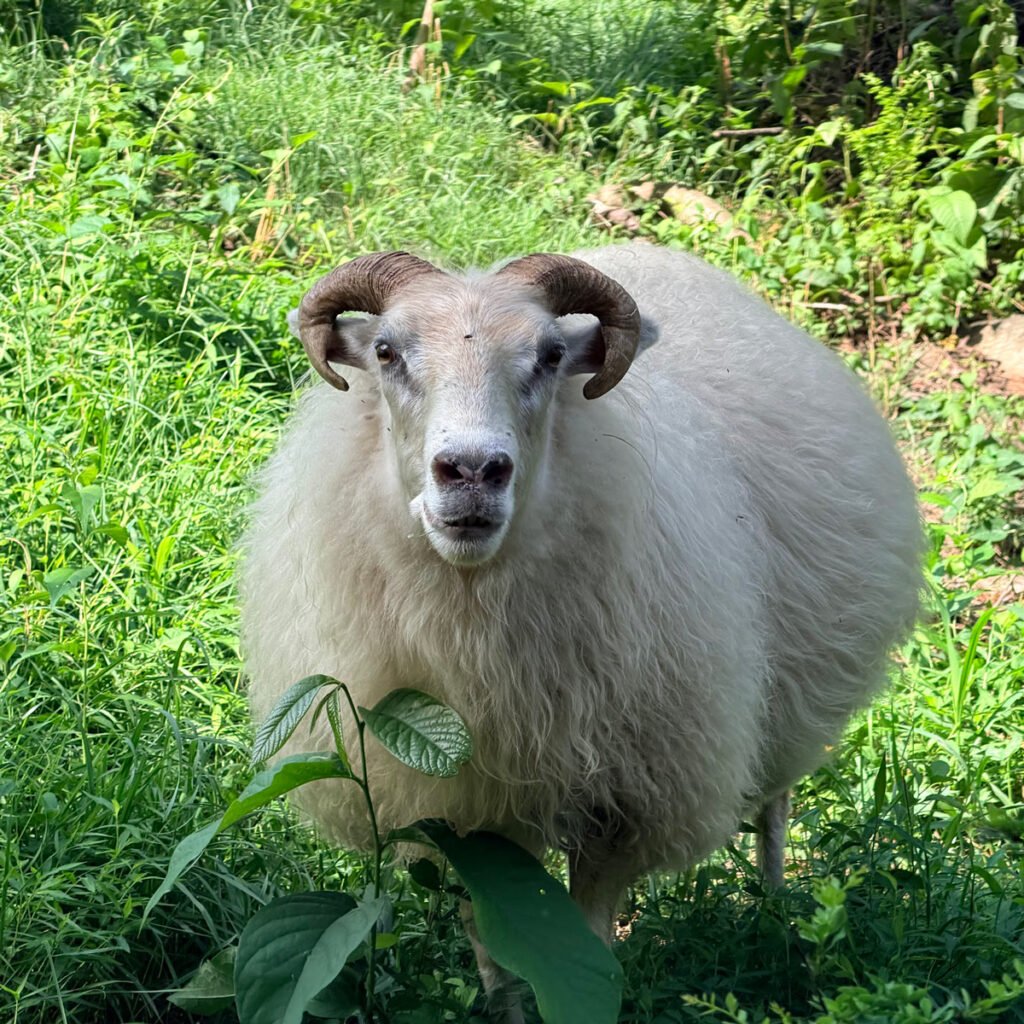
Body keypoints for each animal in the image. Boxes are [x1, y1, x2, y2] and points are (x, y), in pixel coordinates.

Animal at [240, 243, 921, 1019]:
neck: (472, 624)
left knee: (774, 804)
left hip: (793, 696)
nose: (471, 471)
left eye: (550, 355)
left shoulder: (624, 807)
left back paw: (779, 921)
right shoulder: (465, 815)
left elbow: (592, 941)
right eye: (385, 351)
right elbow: (499, 955)